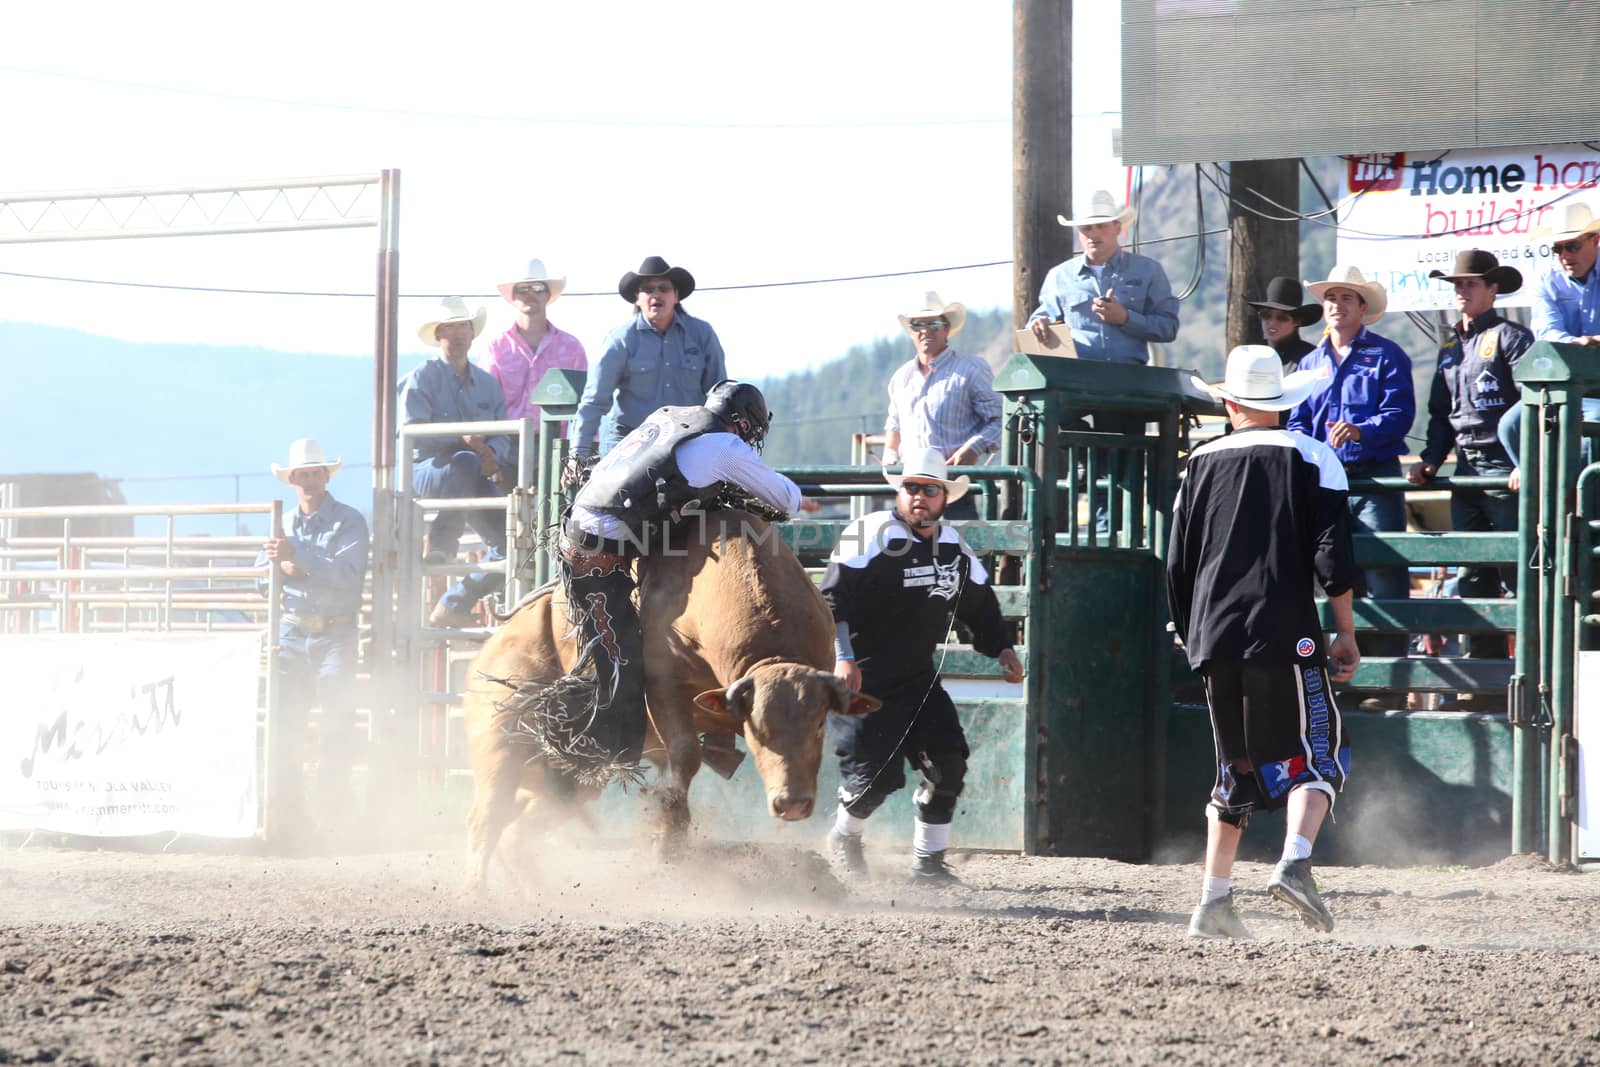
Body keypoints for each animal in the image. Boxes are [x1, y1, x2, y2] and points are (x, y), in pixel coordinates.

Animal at [464, 508, 883, 895]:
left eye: (819, 725)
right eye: (755, 729)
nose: (792, 803)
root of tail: (492, 644)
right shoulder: (664, 687)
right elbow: (684, 756)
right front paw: (668, 840)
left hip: (570, 779)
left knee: (518, 831)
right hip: (500, 746)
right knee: (486, 820)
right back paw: (477, 891)